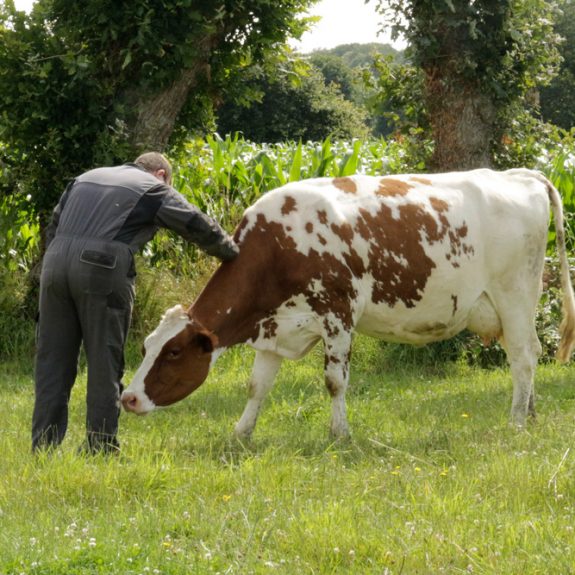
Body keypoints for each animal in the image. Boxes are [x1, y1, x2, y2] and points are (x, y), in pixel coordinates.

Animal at [120, 169, 575, 438]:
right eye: (144, 346)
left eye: (174, 352)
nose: (128, 398)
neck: (278, 246)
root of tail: (520, 174)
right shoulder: (273, 327)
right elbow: (257, 385)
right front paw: (241, 434)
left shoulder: (337, 315)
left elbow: (335, 381)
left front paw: (340, 434)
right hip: (512, 305)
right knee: (527, 354)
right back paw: (531, 413)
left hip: (514, 294)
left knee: (523, 358)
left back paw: (516, 421)